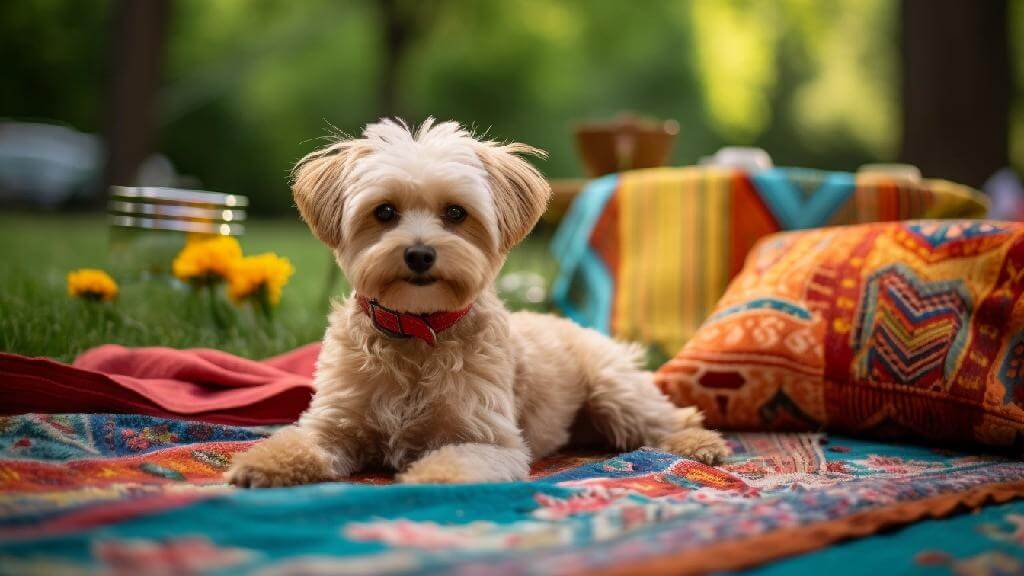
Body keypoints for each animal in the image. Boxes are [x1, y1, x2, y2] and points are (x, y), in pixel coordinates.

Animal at [228, 118, 733, 485]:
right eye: (384, 211)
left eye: (456, 212)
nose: (419, 253)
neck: (418, 330)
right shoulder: (333, 424)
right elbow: (294, 442)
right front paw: (260, 464)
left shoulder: (490, 440)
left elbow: (450, 464)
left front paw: (425, 482)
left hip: (615, 390)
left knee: (673, 416)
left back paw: (699, 445)